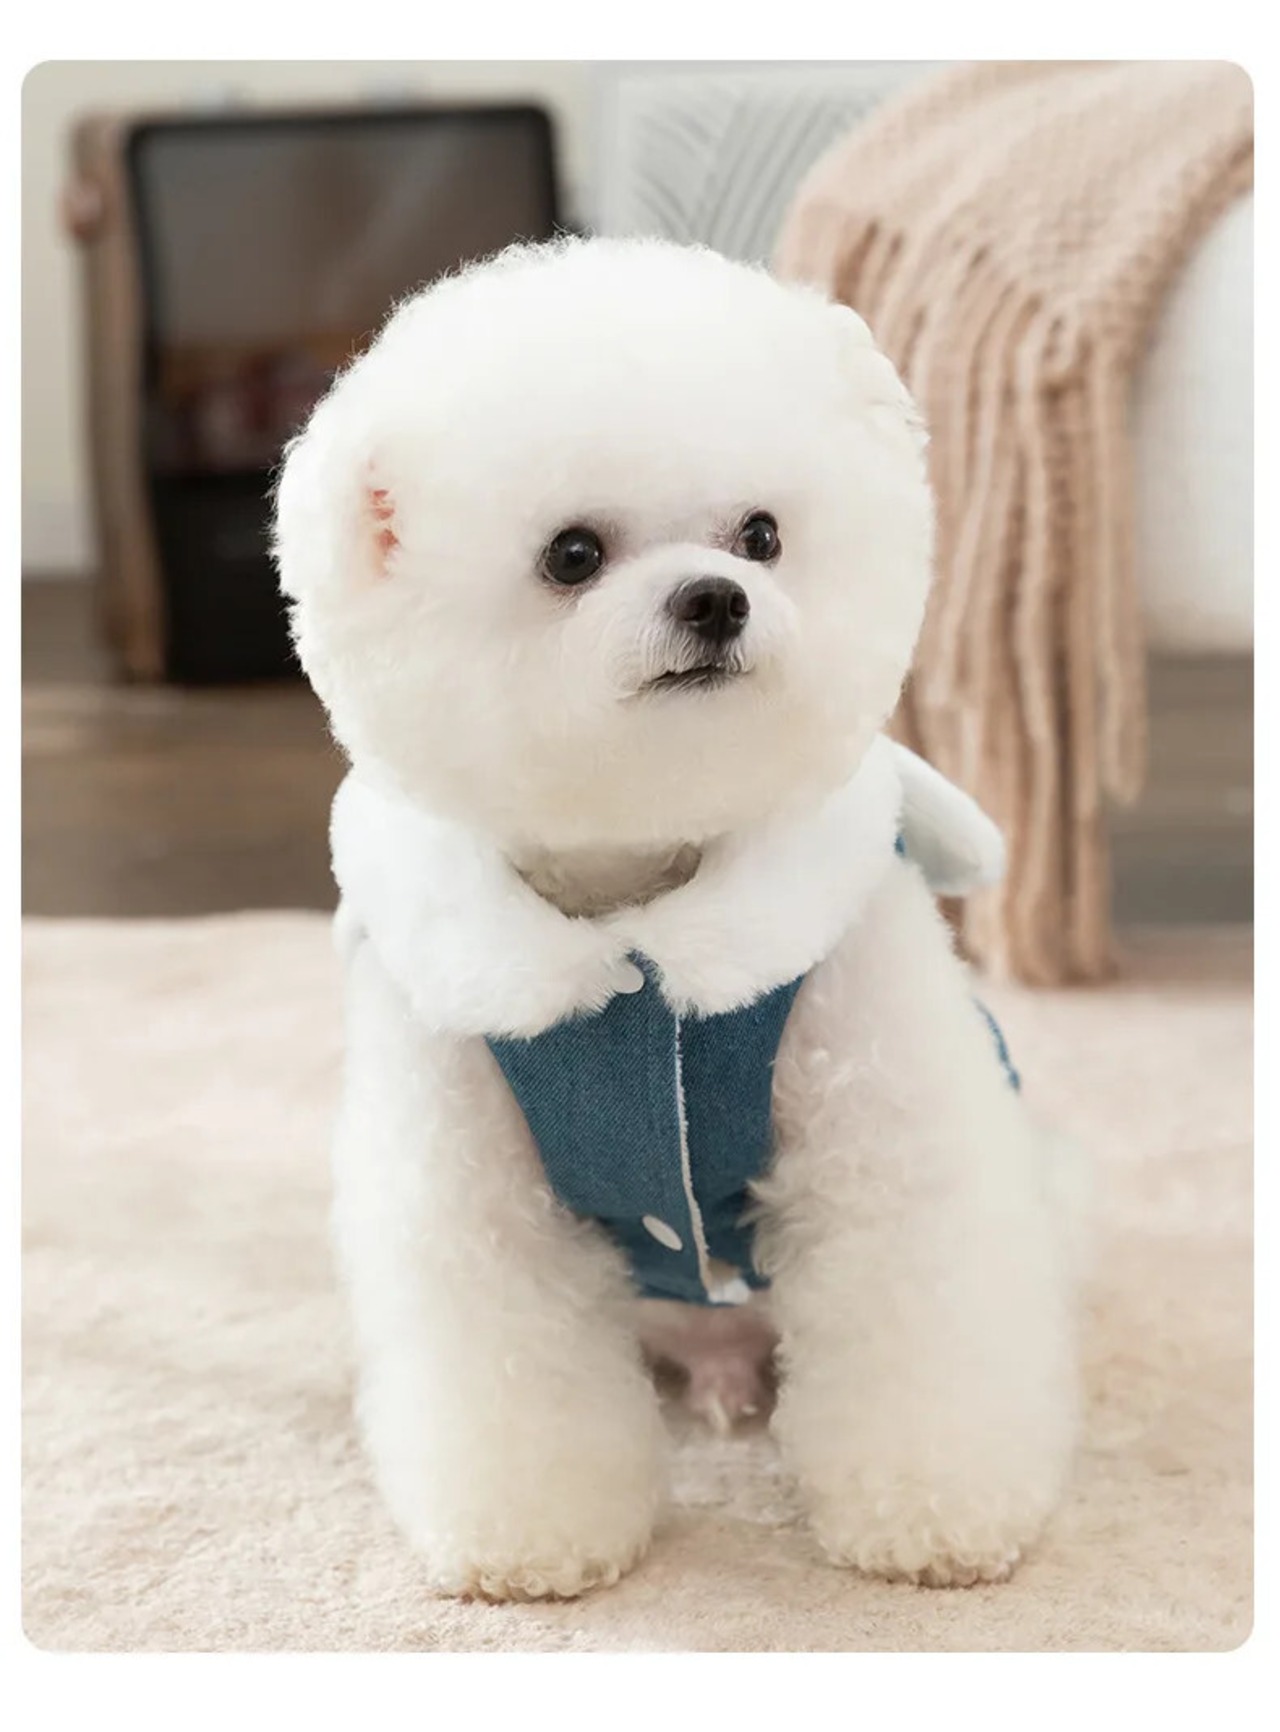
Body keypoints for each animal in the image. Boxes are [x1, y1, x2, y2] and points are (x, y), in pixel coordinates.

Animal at [273, 236, 1081, 1601]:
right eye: (571, 555)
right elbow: (507, 1360)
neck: (638, 905)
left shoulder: (877, 1128)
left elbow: (915, 1310)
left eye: (760, 534)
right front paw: (532, 1537)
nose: (714, 598)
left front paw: (932, 1515)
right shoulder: (474, 1185)